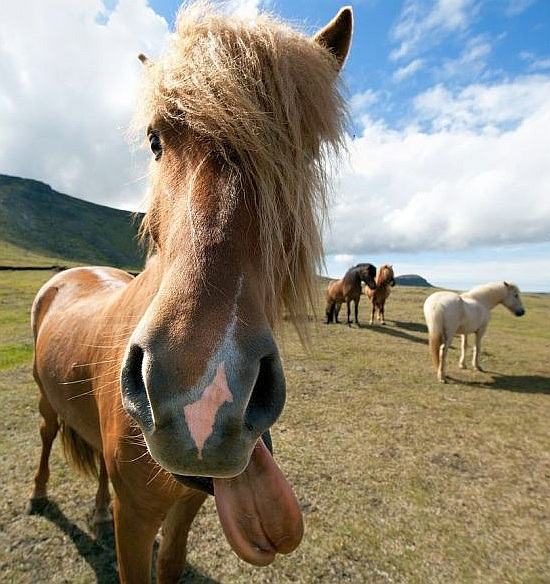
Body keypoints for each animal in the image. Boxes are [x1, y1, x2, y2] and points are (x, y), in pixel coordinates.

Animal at [27, 5, 354, 584]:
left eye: (302, 149)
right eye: (155, 141)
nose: (204, 401)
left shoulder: (187, 507)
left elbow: (173, 560)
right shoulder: (136, 520)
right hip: (46, 401)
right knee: (46, 437)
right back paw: (40, 494)